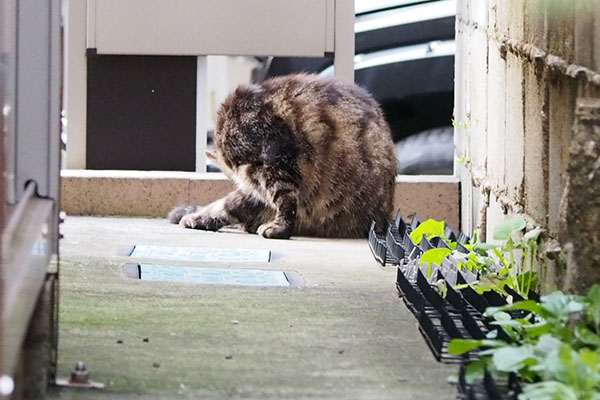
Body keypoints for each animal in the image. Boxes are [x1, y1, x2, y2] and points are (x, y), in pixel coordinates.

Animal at [166, 73, 396, 238]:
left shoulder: (274, 163)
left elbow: (284, 203)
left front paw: (280, 229)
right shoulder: (254, 185)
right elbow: (229, 204)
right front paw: (200, 217)